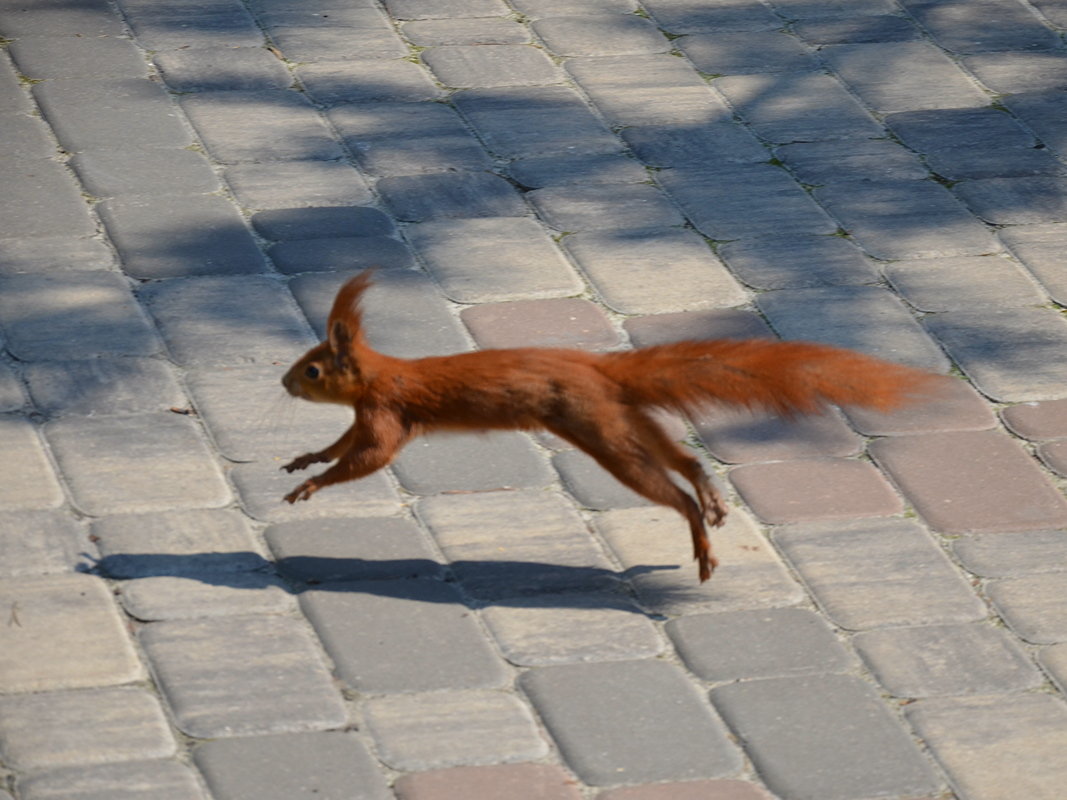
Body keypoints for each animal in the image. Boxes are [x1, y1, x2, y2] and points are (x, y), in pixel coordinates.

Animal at [279, 270, 938, 584]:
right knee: (683, 459)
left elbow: (370, 456)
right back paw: (710, 497)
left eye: (312, 369)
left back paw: (700, 533)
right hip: (622, 419)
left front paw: (311, 486)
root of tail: (598, 368)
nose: (283, 384)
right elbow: (344, 445)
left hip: (600, 430)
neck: (382, 372)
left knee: (667, 489)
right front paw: (306, 460)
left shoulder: (387, 411)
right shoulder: (366, 414)